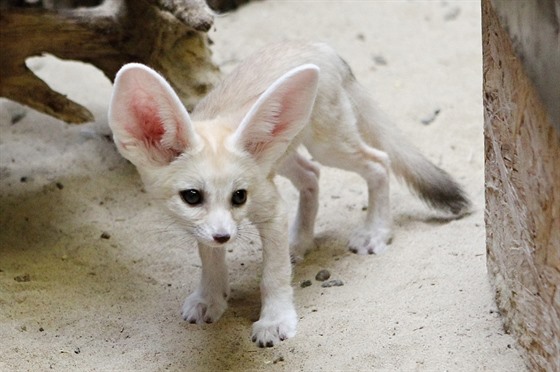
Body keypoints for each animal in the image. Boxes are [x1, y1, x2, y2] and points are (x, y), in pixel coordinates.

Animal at [107, 40, 470, 346]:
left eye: (239, 196)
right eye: (192, 196)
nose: (225, 236)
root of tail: (319, 45)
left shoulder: (270, 208)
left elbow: (274, 275)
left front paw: (275, 321)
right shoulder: (206, 226)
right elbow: (210, 262)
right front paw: (210, 299)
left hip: (328, 146)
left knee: (379, 163)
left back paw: (375, 232)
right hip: (282, 156)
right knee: (312, 174)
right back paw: (300, 241)